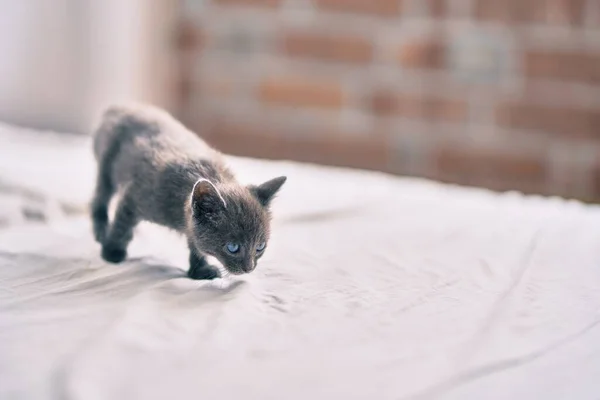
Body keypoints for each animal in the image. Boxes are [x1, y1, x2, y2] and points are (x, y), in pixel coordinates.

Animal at [89, 103, 286, 280]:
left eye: (260, 247)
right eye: (233, 247)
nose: (249, 268)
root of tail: (121, 107)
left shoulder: (191, 222)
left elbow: (196, 241)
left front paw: (200, 270)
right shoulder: (134, 196)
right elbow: (122, 224)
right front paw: (112, 252)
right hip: (106, 165)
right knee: (101, 197)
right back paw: (101, 230)